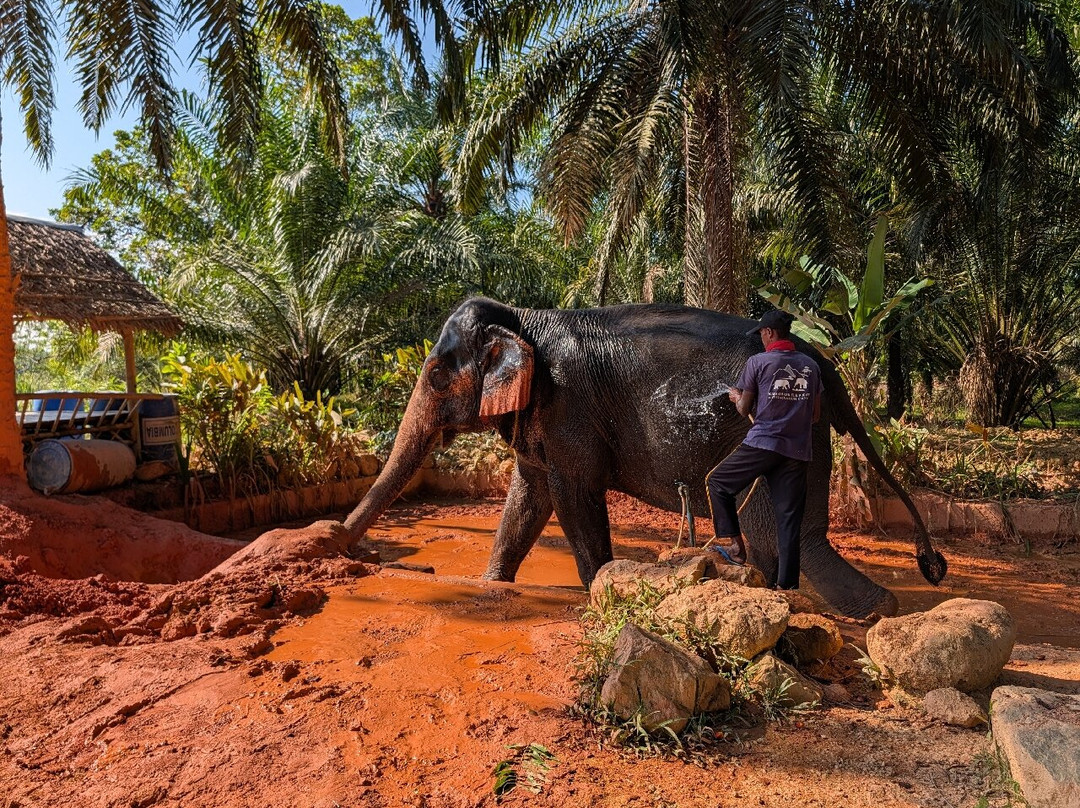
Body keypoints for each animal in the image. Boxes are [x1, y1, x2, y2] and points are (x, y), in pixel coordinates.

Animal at [343, 297, 946, 618]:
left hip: (783, 430)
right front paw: (494, 583)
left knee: (782, 532)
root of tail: (823, 360)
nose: (362, 553)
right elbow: (527, 498)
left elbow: (572, 496)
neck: (523, 316)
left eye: (434, 374)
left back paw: (876, 609)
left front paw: (599, 590)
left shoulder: (570, 410)